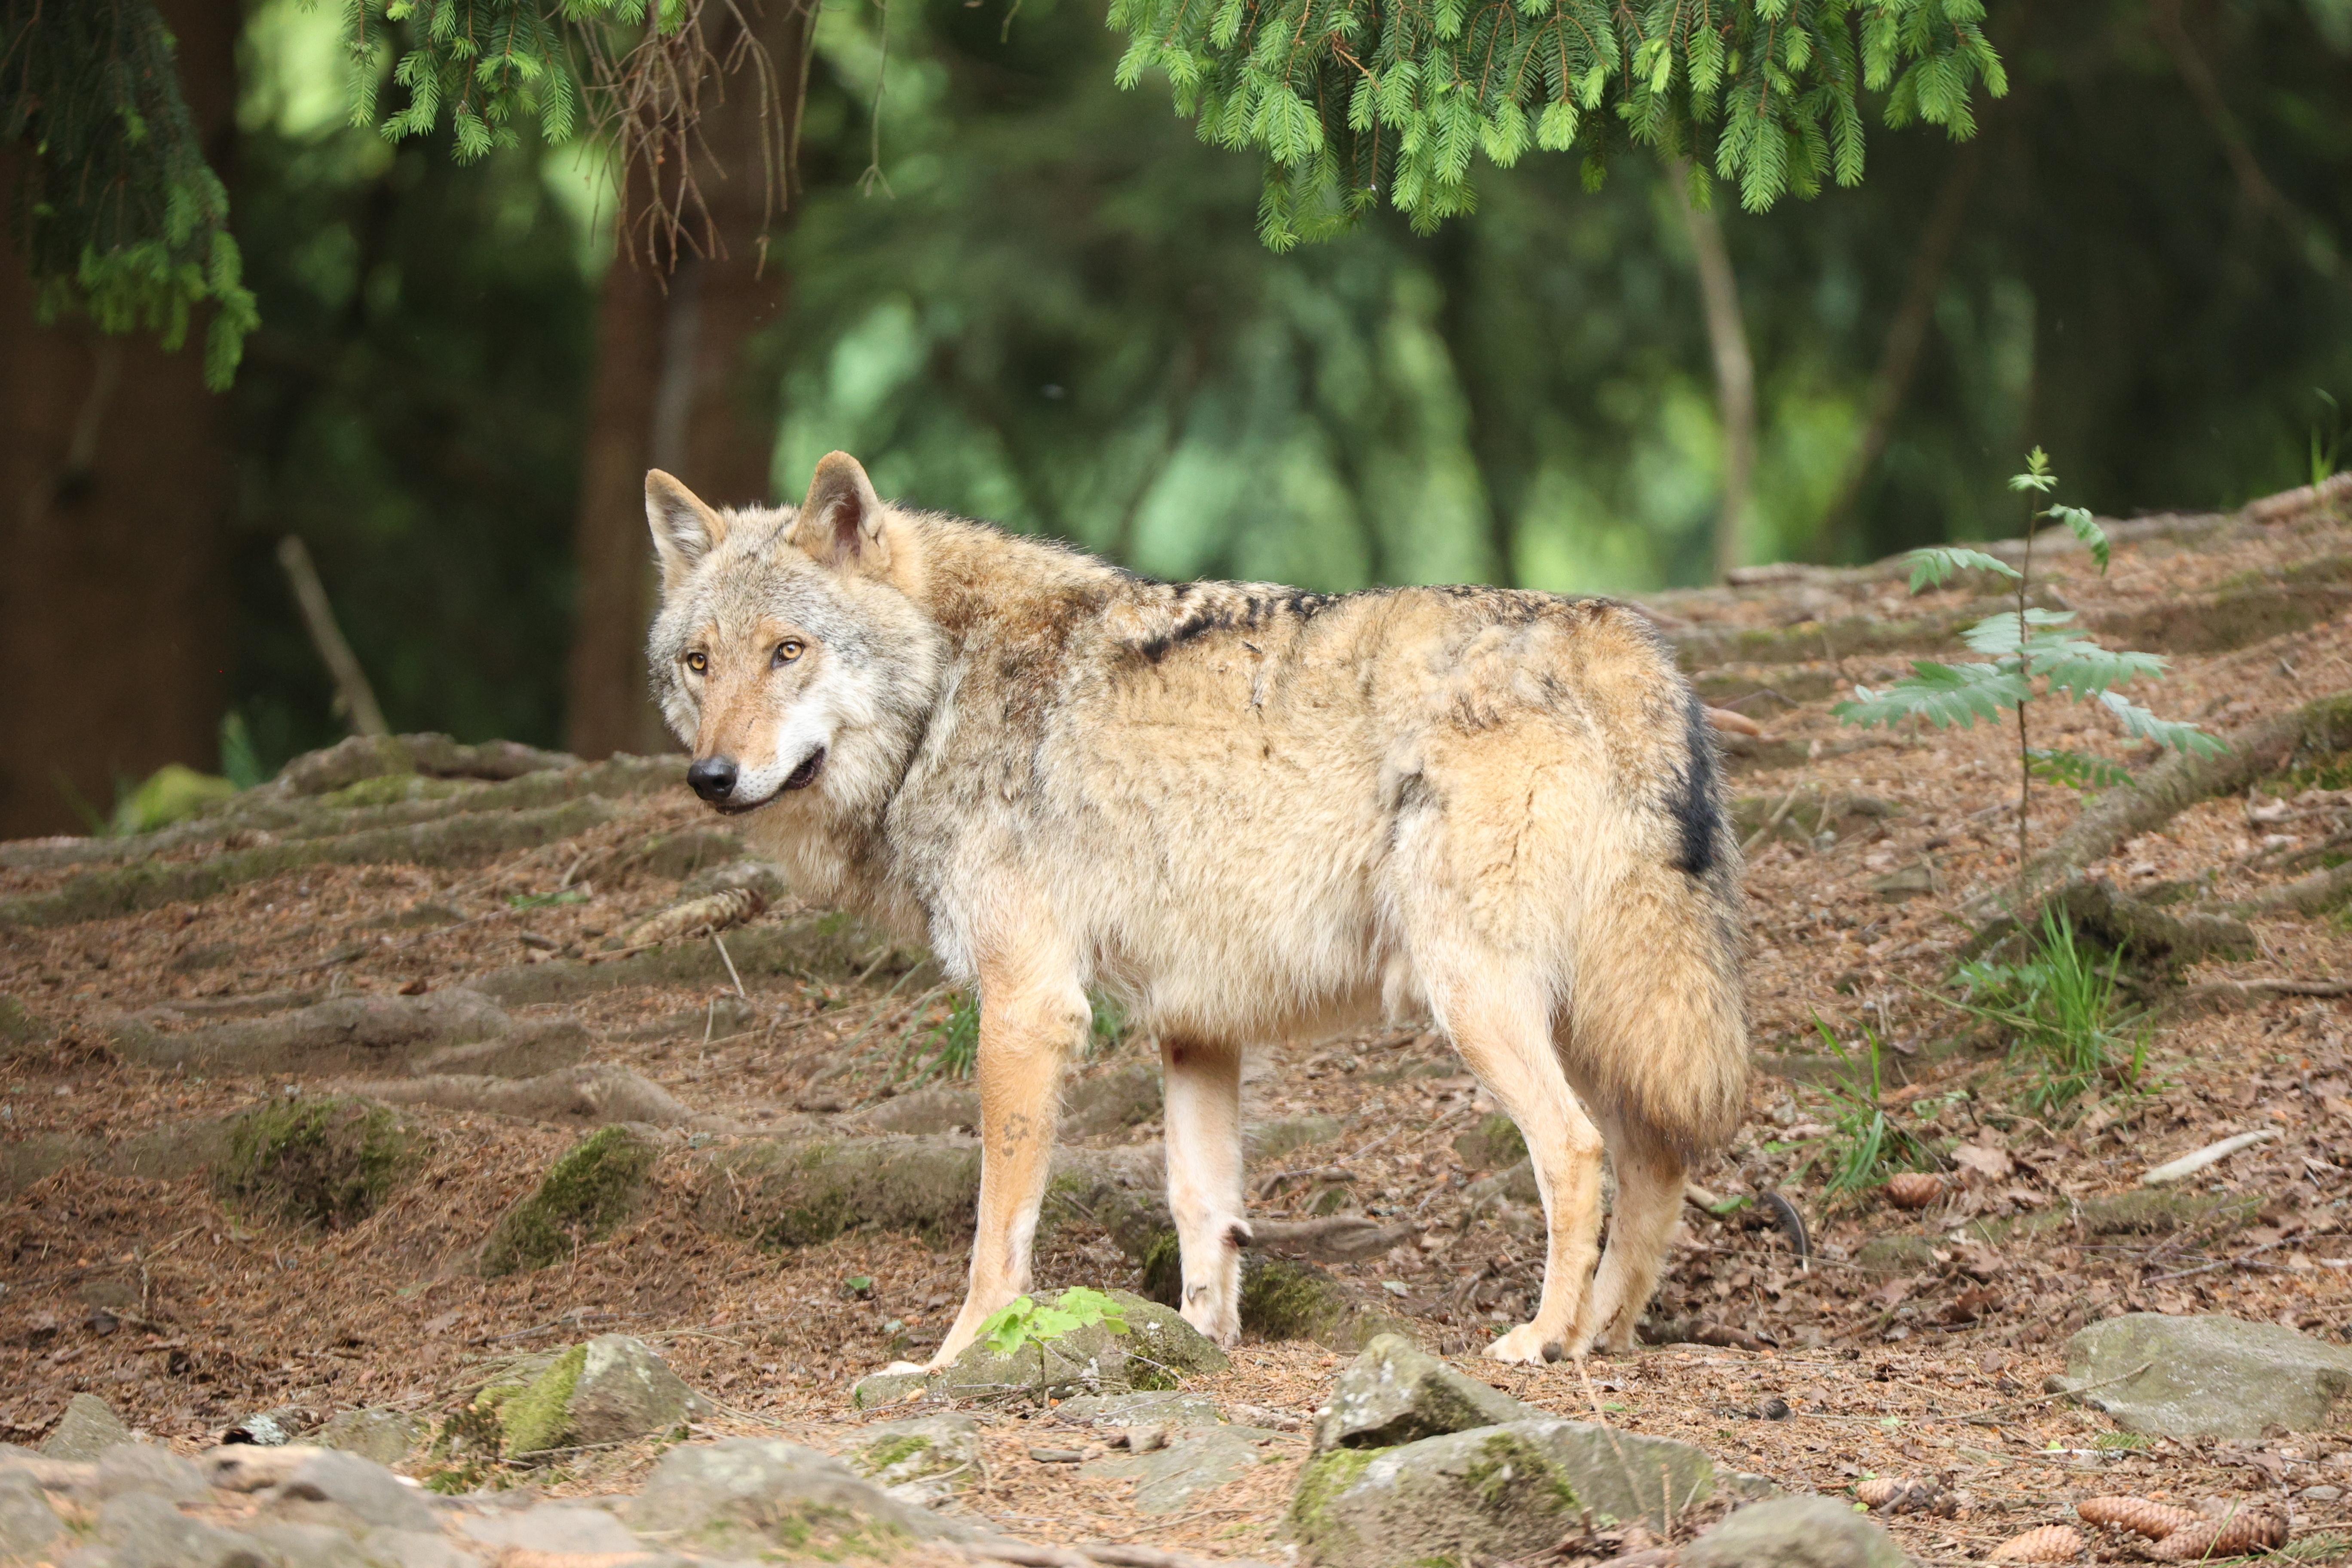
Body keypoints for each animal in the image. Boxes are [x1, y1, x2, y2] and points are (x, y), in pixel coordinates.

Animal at [643, 451, 1748, 1369]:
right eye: (700, 661)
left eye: (788, 651)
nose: (710, 777)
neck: (947, 686)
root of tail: (1624, 645)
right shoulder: (1197, 1023)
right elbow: (1200, 1205)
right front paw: (1199, 1343)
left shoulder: (1029, 1007)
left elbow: (998, 1226)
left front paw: (956, 1360)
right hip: (1596, 1013)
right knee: (1655, 1161)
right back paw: (1602, 1332)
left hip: (1479, 1000)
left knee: (1577, 1151)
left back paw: (1542, 1339)